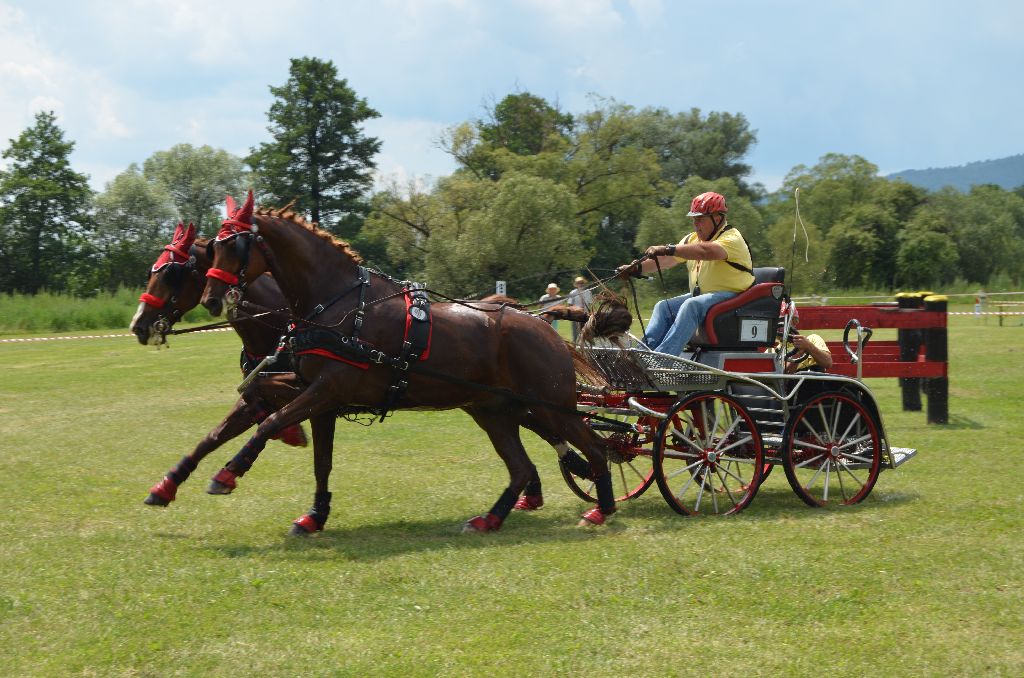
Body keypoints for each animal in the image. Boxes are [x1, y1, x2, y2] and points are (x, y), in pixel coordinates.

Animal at [130, 223, 309, 510]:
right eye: (151, 271)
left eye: (171, 274)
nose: (138, 325)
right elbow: (213, 436)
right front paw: (166, 486)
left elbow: (264, 407)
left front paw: (289, 432)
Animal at [198, 192, 614, 536]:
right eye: (213, 248)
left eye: (233, 245)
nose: (211, 299)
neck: (341, 307)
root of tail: (542, 323)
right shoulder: (318, 395)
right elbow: (311, 450)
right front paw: (312, 513)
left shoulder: (328, 389)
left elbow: (270, 422)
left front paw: (228, 472)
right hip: (492, 410)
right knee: (521, 467)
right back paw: (491, 518)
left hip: (553, 406)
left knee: (595, 446)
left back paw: (602, 508)